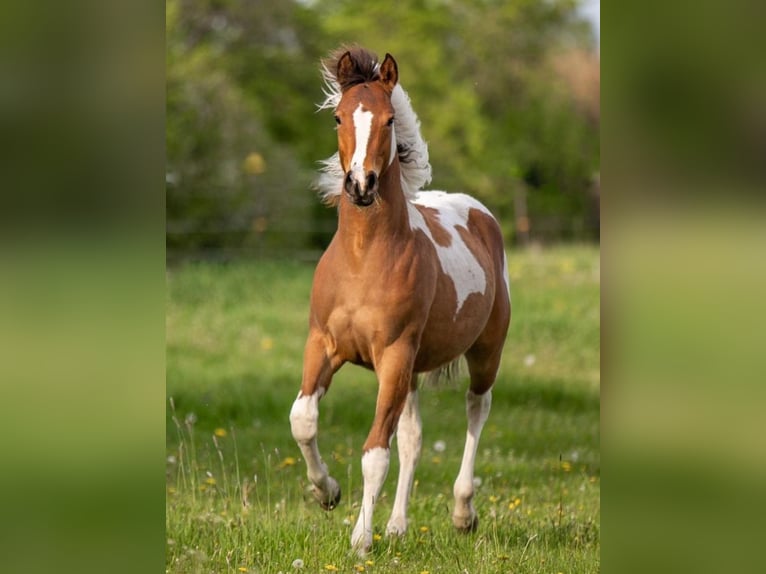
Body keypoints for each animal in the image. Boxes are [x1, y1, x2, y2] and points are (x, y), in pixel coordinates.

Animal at [289, 46, 511, 555]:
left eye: (390, 120)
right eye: (338, 117)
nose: (361, 186)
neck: (363, 259)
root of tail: (480, 214)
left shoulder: (392, 355)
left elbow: (375, 452)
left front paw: (360, 539)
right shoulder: (323, 345)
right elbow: (303, 419)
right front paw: (327, 493)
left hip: (483, 352)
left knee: (477, 409)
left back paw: (462, 514)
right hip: (411, 372)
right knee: (412, 437)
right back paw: (398, 526)